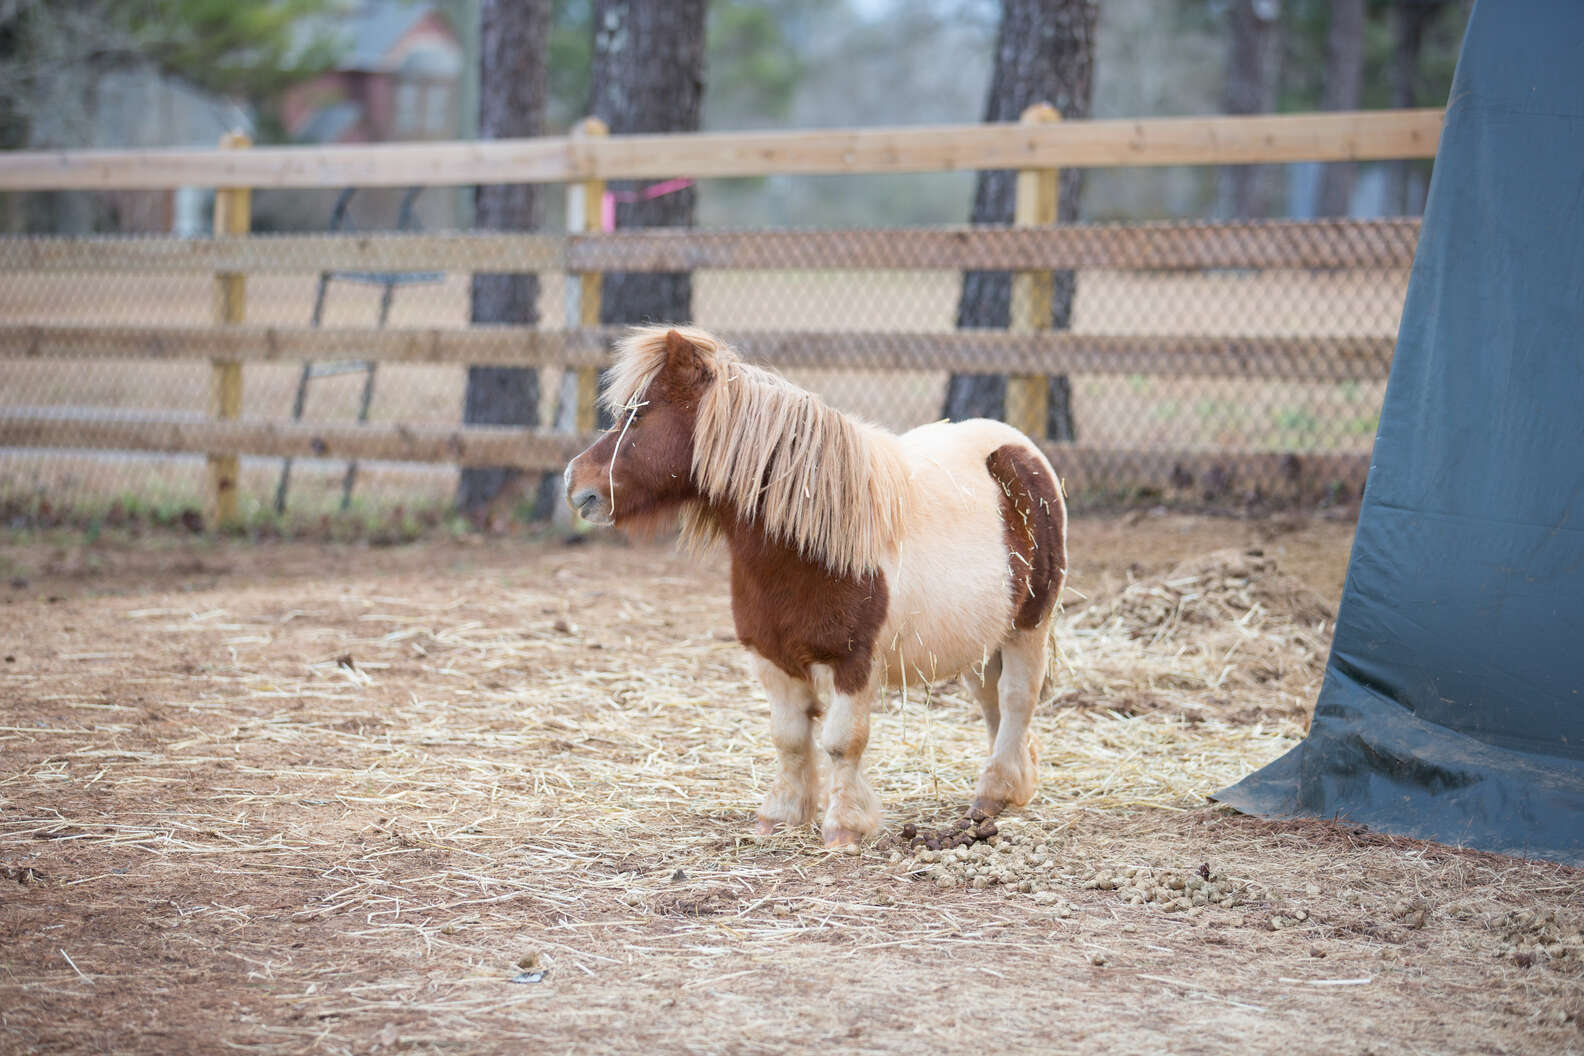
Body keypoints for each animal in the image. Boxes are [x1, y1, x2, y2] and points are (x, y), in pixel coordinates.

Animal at [564, 326, 1067, 848]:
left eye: (639, 414)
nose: (573, 483)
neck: (806, 551)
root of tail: (1020, 450)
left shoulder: (854, 663)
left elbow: (843, 743)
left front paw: (844, 826)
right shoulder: (770, 657)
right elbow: (788, 737)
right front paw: (781, 815)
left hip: (1028, 627)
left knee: (1016, 698)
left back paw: (993, 792)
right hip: (981, 641)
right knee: (992, 703)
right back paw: (1001, 792)